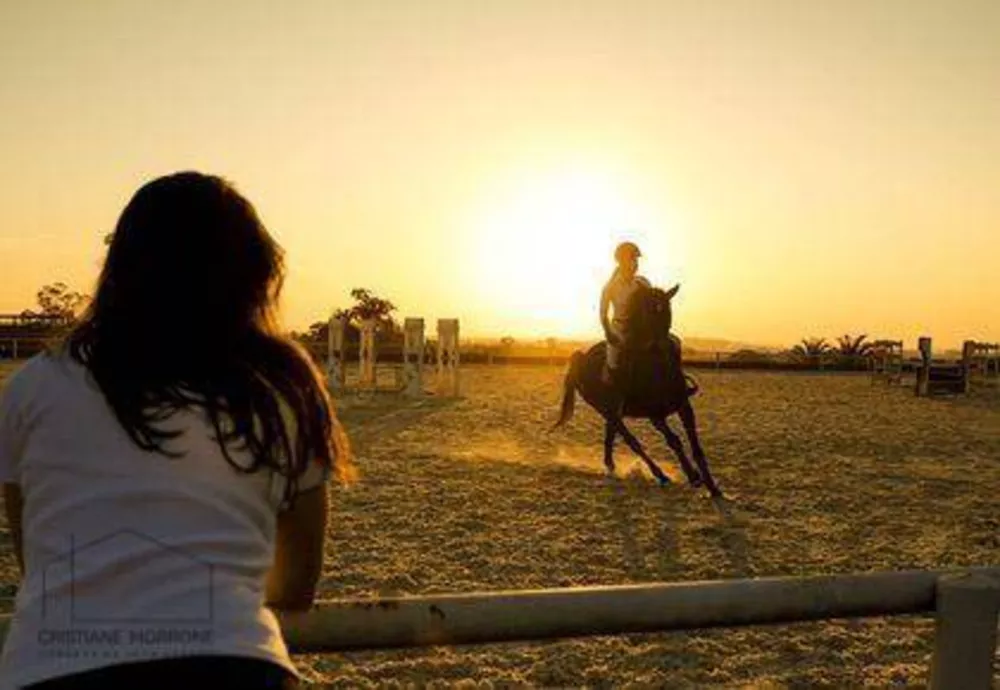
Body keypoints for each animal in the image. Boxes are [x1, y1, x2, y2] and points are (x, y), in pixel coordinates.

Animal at [556, 282, 720, 498]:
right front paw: (693, 477)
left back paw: (611, 466)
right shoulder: (655, 415)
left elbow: (695, 445)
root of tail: (582, 357)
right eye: (648, 312)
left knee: (611, 435)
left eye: (668, 311)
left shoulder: (683, 406)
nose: (661, 347)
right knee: (630, 440)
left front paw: (712, 486)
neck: (660, 370)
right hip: (606, 409)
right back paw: (659, 475)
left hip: (613, 411)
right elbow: (674, 440)